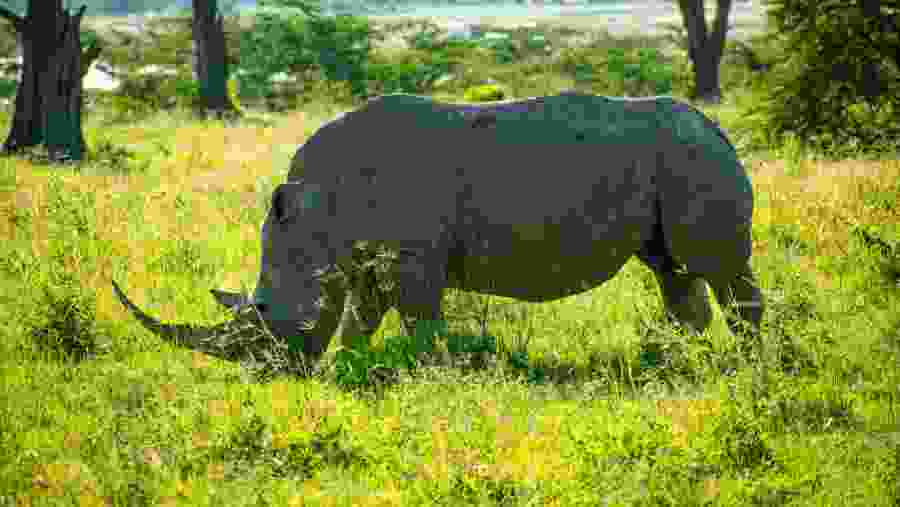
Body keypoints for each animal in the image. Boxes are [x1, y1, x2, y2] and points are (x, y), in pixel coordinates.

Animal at [113, 92, 764, 370]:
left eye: (269, 313)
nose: (271, 374)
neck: (315, 213)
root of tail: (718, 127)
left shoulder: (413, 258)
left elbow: (419, 320)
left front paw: (431, 372)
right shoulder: (366, 258)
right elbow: (359, 318)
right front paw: (350, 369)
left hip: (693, 157)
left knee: (720, 271)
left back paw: (750, 366)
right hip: (677, 162)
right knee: (672, 269)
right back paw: (676, 363)